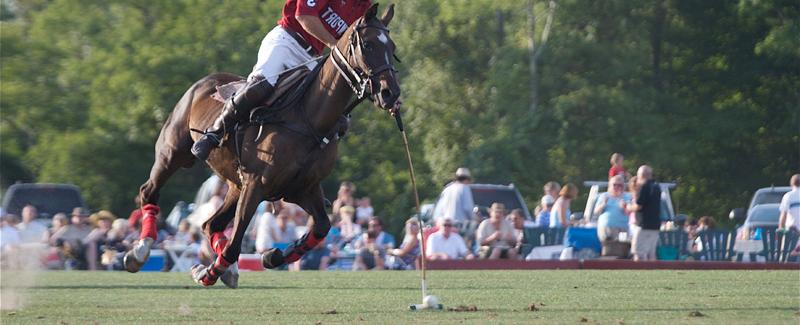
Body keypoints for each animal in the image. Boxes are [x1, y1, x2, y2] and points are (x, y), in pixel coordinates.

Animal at [124, 3, 400, 284]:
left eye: (392, 48)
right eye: (367, 45)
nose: (391, 93)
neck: (310, 118)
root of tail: (203, 81)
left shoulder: (303, 188)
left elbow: (322, 227)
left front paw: (272, 256)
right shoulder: (257, 184)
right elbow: (235, 244)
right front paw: (208, 272)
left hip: (235, 183)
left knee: (211, 224)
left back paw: (227, 269)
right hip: (172, 152)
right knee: (149, 191)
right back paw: (140, 252)